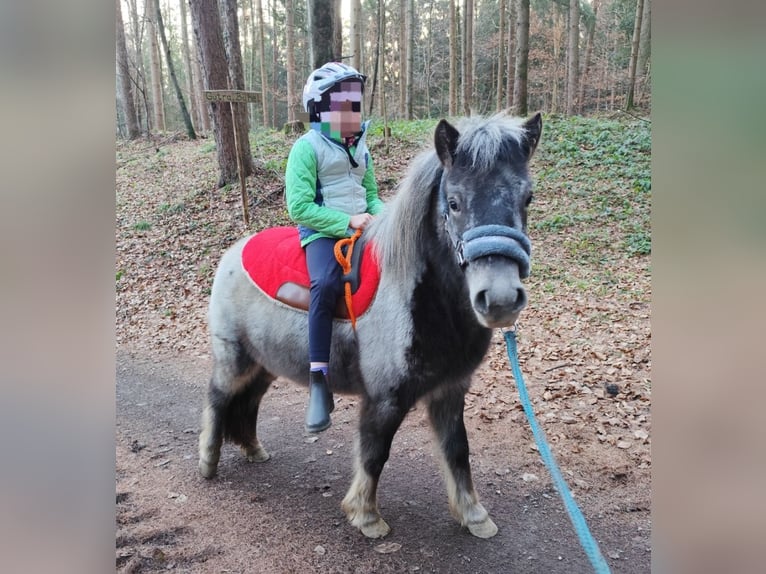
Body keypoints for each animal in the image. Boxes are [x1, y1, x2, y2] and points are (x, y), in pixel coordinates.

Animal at [197, 111, 542, 539]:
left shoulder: (450, 391)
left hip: (265, 364)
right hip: (235, 359)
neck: (416, 295)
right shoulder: (384, 398)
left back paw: (252, 449)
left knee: (247, 402)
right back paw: (208, 461)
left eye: (527, 198)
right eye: (454, 202)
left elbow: (458, 451)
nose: (500, 299)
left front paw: (474, 516)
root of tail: (233, 251)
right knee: (217, 398)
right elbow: (375, 452)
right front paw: (366, 516)